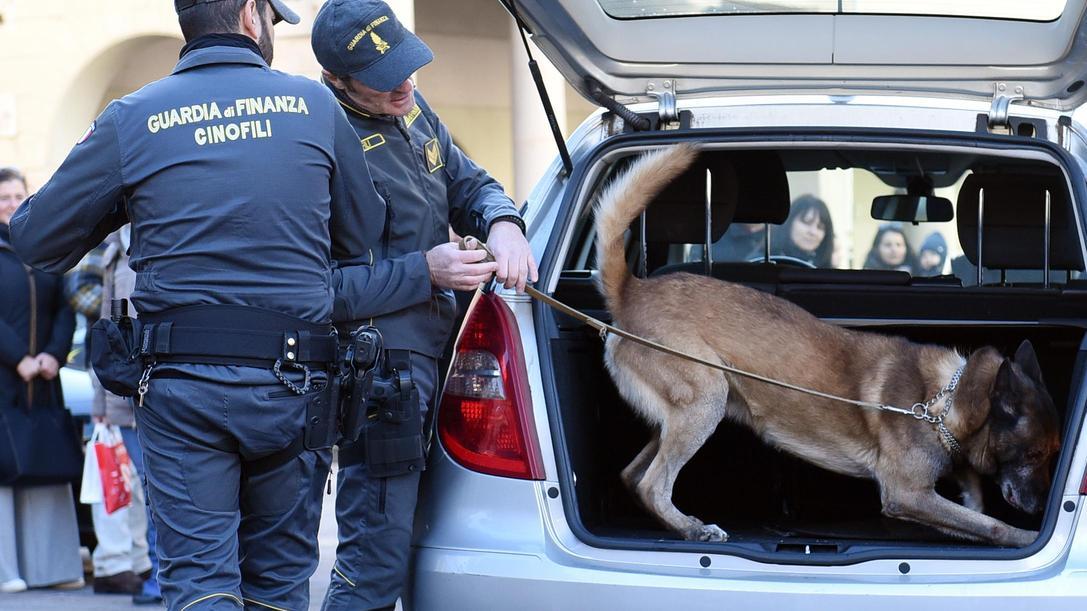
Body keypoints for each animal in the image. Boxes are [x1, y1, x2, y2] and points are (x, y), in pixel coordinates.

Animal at [595, 144, 1060, 543]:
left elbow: (974, 497)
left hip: (684, 414)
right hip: (705, 401)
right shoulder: (907, 494)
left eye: (1054, 454)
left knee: (632, 476)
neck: (943, 400)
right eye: (1034, 454)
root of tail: (632, 291)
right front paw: (1024, 536)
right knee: (653, 484)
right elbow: (989, 523)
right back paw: (692, 528)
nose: (1041, 510)